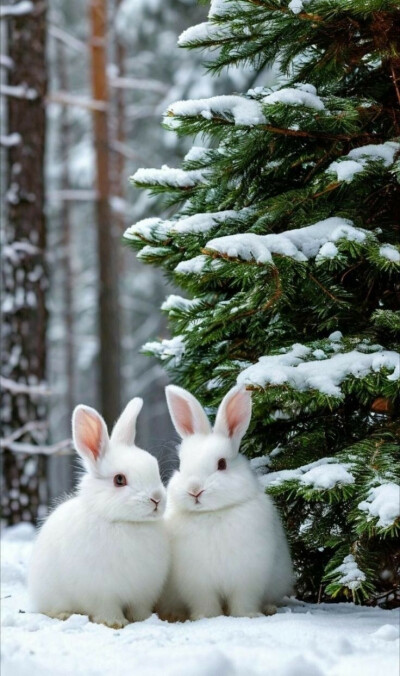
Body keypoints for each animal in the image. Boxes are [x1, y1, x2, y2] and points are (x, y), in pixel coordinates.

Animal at [28, 396, 169, 628]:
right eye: (119, 479)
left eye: (154, 467)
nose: (157, 498)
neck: (124, 522)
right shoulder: (101, 591)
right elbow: (107, 608)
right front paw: (115, 623)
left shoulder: (143, 591)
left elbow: (139, 608)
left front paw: (145, 620)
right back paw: (63, 615)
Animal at [161, 382, 296, 620]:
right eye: (181, 465)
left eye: (222, 464)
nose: (194, 490)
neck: (212, 513)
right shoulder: (198, 583)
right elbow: (205, 603)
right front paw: (206, 618)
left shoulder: (247, 576)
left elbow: (243, 600)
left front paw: (248, 616)